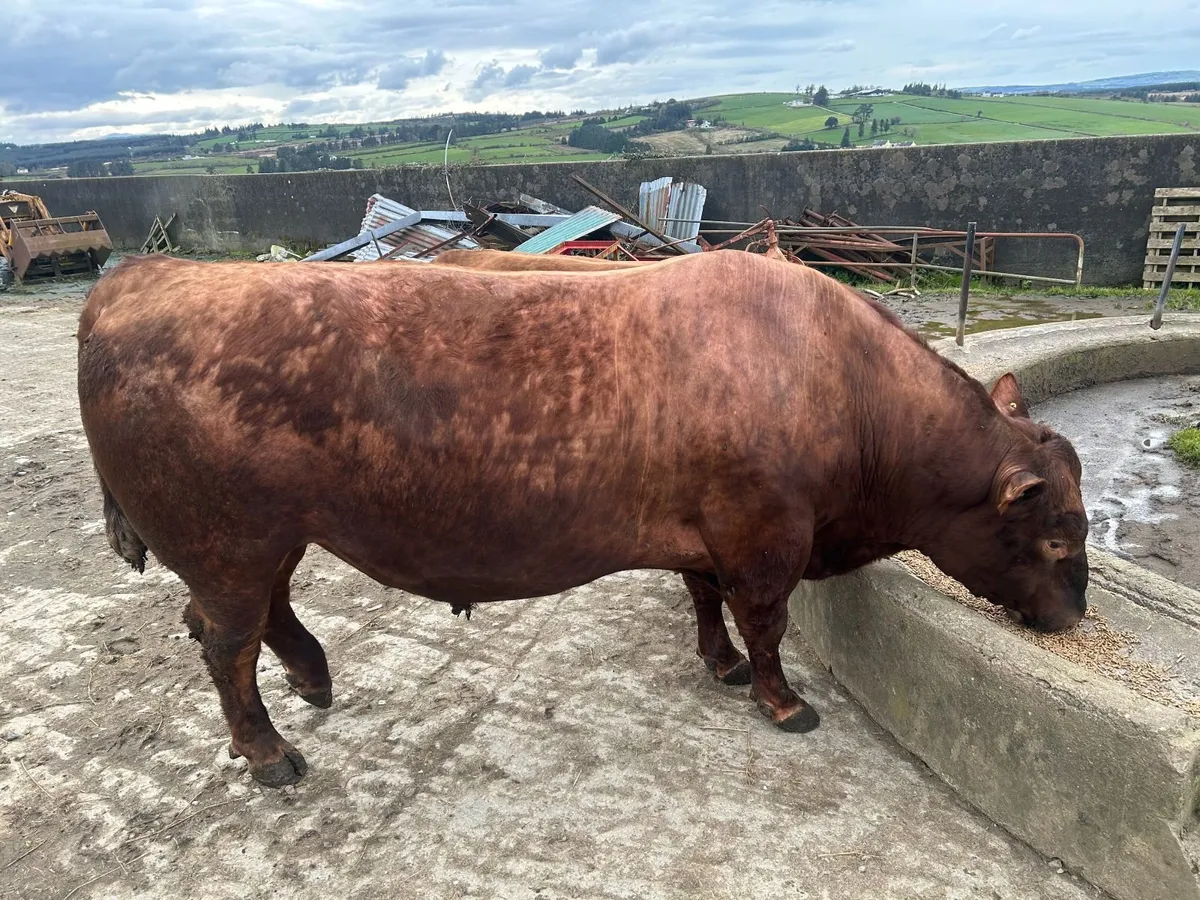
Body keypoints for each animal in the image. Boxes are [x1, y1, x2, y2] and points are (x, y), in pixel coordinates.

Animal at [76, 250, 1088, 787]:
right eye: (1056, 535)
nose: (1075, 614)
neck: (837, 376)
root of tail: (145, 275)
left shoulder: (708, 534)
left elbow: (704, 599)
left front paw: (719, 664)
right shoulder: (766, 539)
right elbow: (765, 622)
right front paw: (781, 699)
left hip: (265, 539)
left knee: (259, 620)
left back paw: (314, 677)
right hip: (229, 543)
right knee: (226, 642)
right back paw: (269, 751)